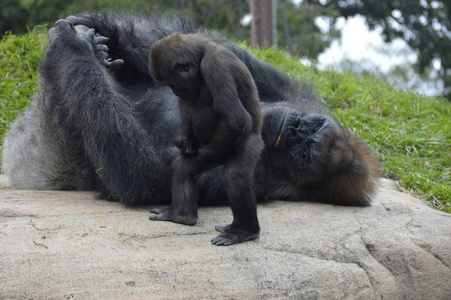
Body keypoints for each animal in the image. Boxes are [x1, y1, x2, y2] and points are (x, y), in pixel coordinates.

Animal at [0, 12, 382, 209]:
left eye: (304, 154)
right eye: (309, 126)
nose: (295, 130)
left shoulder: (243, 177)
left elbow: (143, 173)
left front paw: (73, 46)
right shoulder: (291, 90)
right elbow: (205, 55)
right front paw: (108, 31)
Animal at [150, 32, 264, 246]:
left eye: (172, 84)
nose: (175, 92)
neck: (201, 54)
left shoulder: (215, 66)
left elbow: (236, 120)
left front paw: (200, 155)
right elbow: (187, 110)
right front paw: (184, 140)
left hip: (248, 143)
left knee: (234, 175)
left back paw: (244, 231)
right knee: (182, 166)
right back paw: (181, 215)